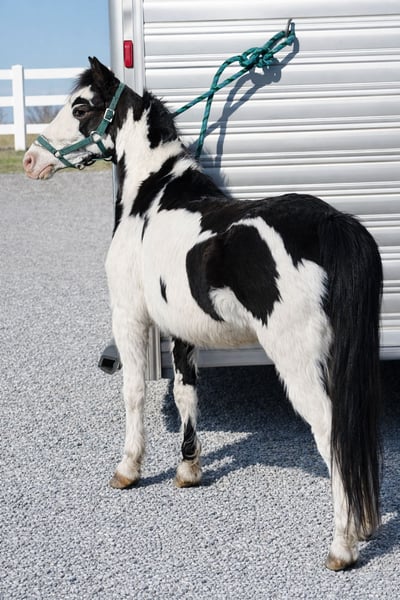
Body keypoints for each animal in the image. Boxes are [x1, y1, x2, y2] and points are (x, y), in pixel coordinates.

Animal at [23, 57, 383, 571]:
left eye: (80, 107)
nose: (32, 161)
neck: (152, 197)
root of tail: (330, 223)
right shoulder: (181, 329)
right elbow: (186, 393)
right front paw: (188, 468)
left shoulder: (129, 316)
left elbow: (134, 392)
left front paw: (128, 468)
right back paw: (365, 525)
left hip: (299, 363)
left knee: (334, 434)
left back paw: (342, 545)